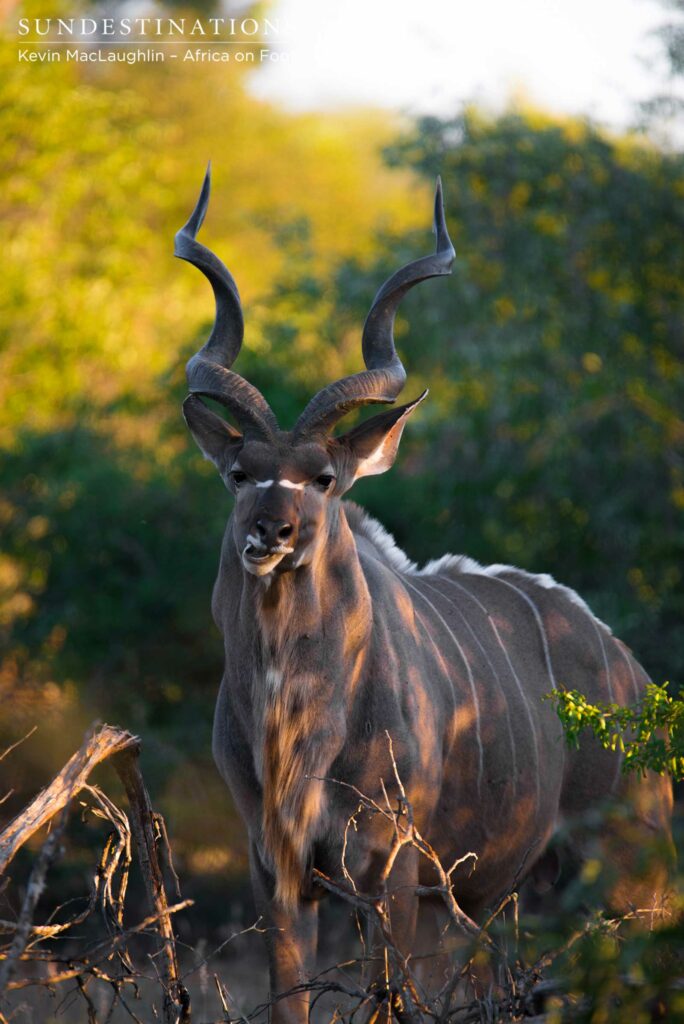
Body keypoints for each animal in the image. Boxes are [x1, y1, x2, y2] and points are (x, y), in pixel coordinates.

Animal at [176, 169, 673, 1020]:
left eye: (324, 478)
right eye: (240, 473)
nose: (271, 531)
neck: (298, 721)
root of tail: (630, 673)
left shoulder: (392, 868)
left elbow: (390, 996)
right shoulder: (275, 870)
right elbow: (290, 995)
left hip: (627, 875)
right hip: (503, 898)